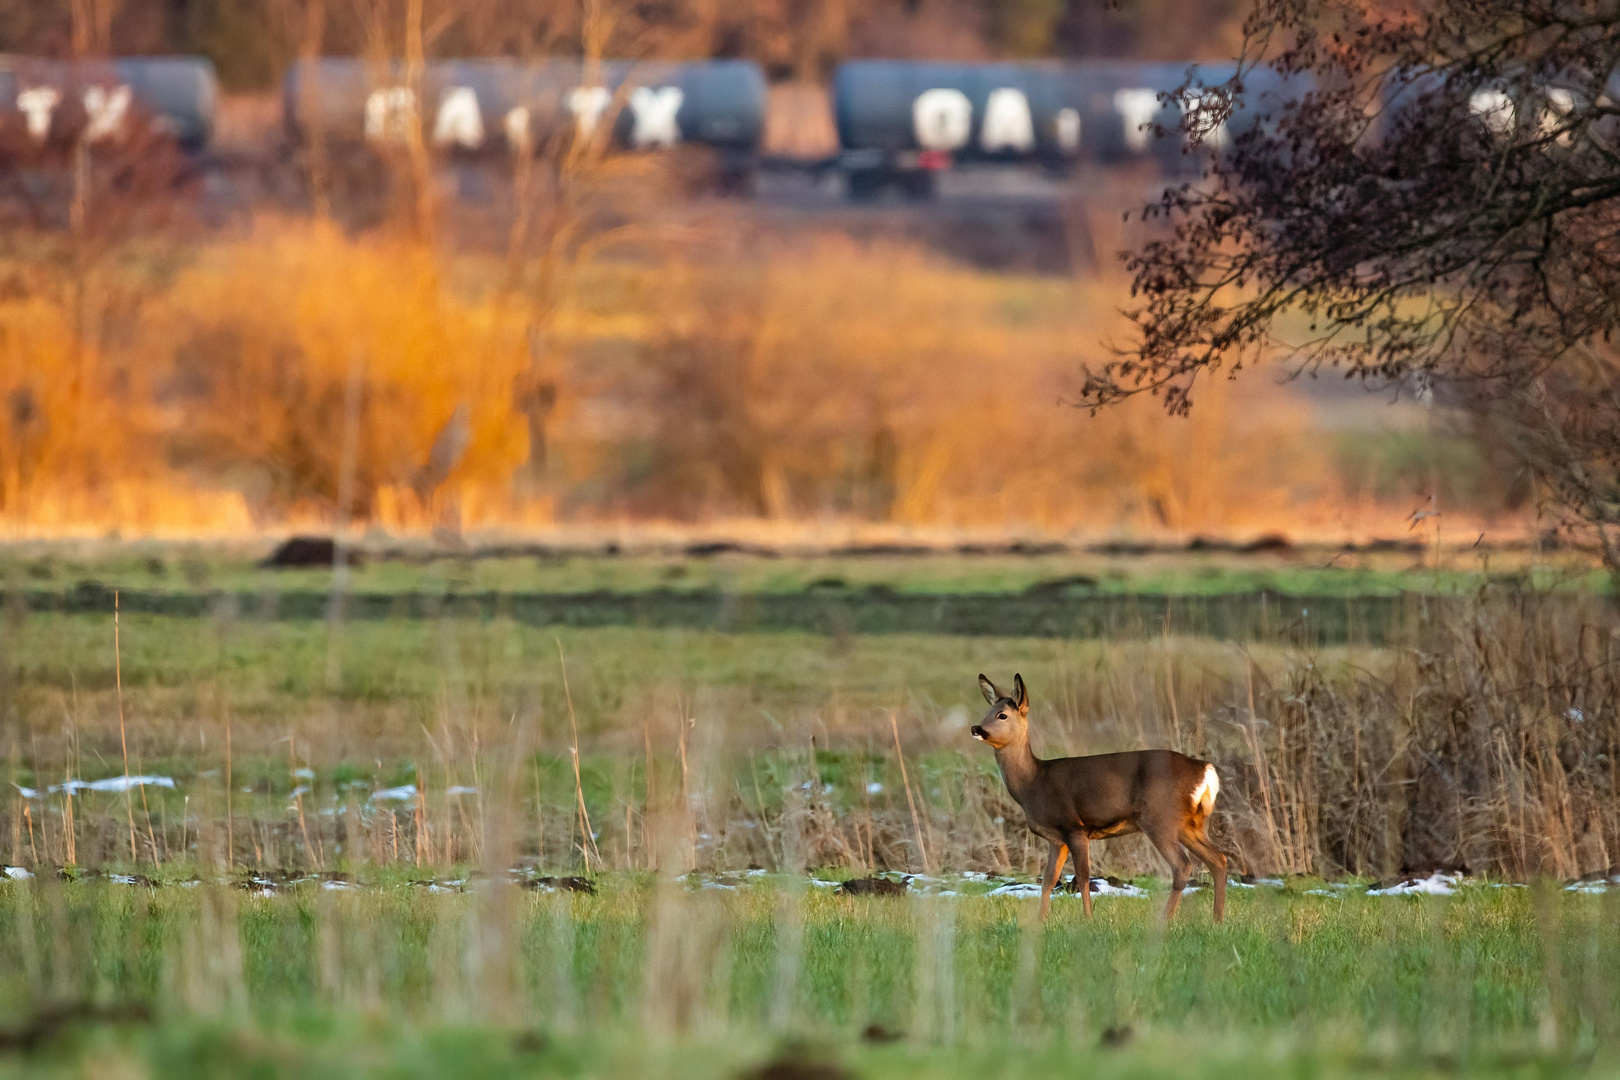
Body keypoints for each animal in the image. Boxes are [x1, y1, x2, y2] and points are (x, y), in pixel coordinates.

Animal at [972, 676, 1224, 919]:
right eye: (987, 712)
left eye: (1002, 715)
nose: (976, 728)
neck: (1033, 783)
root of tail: (1205, 769)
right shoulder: (1057, 838)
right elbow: (1048, 880)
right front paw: (1040, 921)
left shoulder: (1075, 828)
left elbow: (1082, 877)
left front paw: (1088, 919)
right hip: (1190, 824)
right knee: (1218, 859)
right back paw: (1217, 920)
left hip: (1160, 818)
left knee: (1183, 866)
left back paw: (1165, 920)